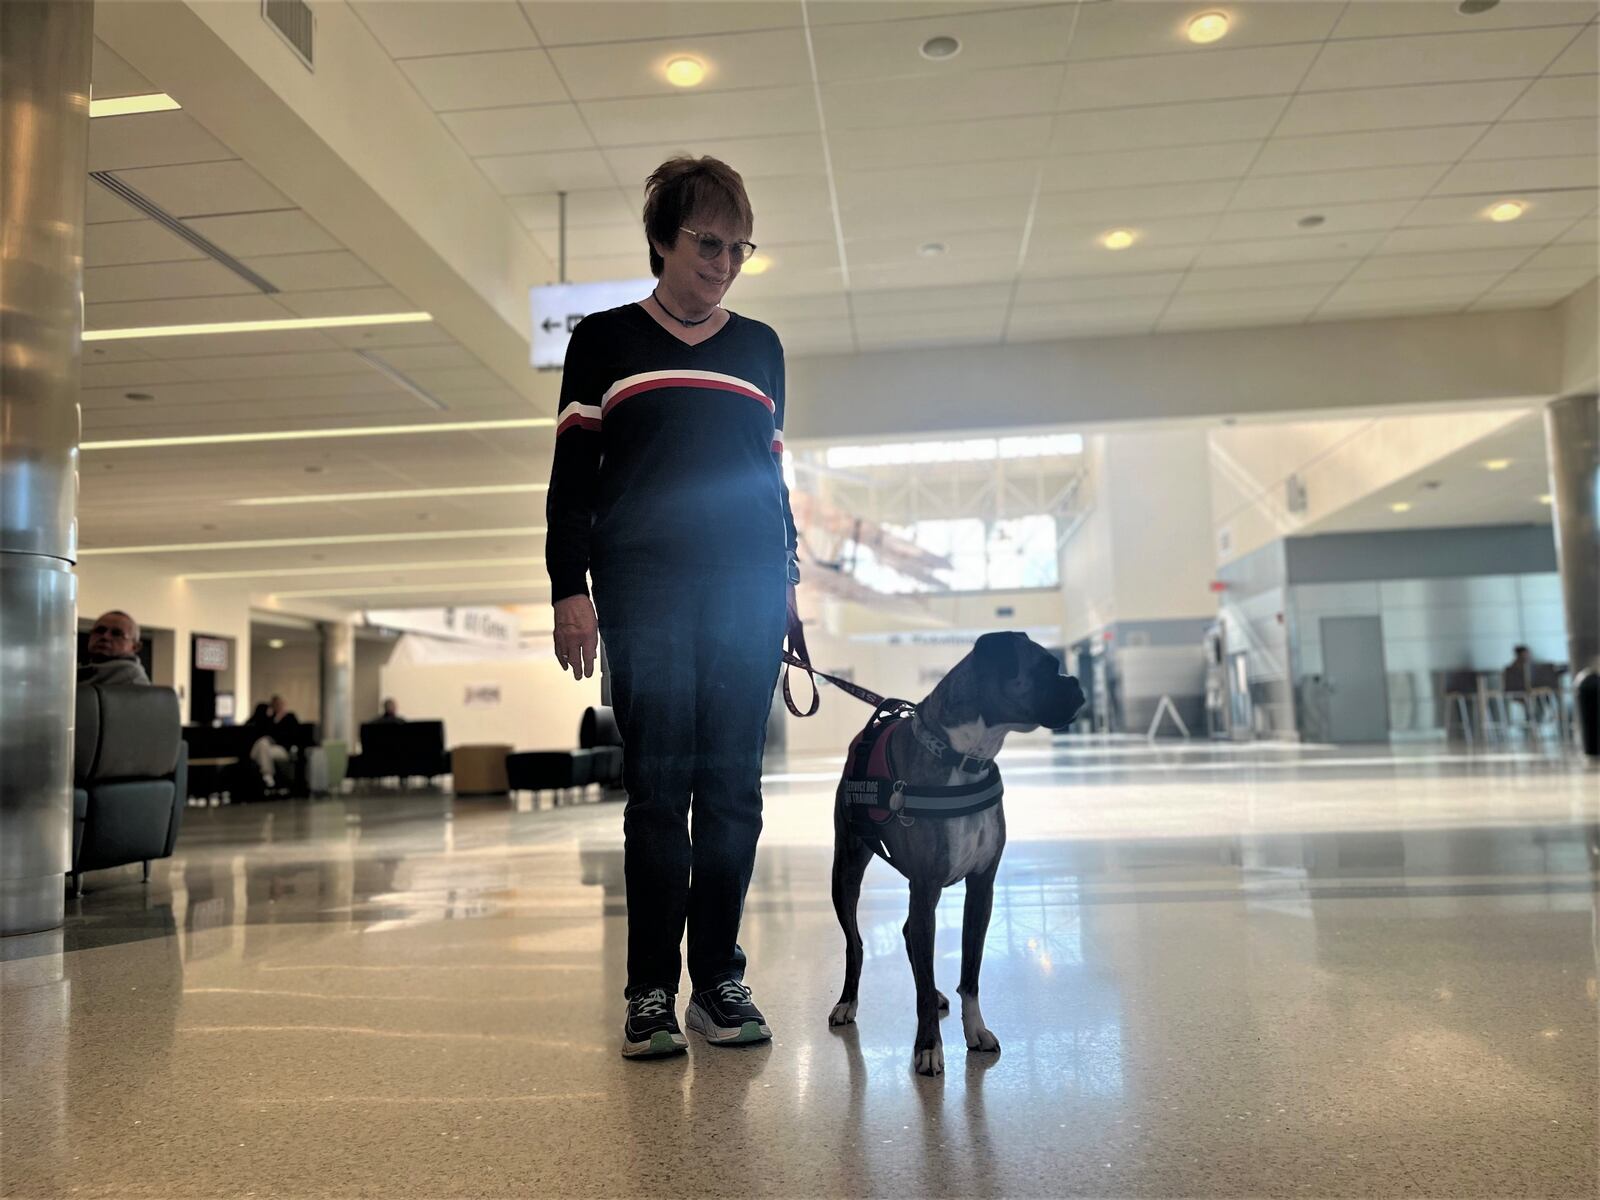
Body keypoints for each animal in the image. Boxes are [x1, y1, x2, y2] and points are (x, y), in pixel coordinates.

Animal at [832, 633, 1081, 1075]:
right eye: (1047, 667)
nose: (1079, 685)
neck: (965, 757)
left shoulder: (981, 887)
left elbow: (971, 970)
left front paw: (974, 1029)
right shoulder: (926, 886)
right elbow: (922, 979)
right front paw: (928, 1046)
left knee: (910, 938)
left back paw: (932, 990)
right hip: (845, 872)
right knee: (857, 943)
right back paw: (848, 1002)